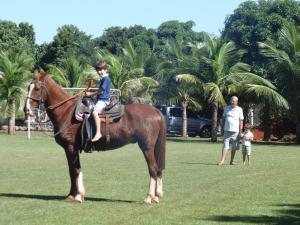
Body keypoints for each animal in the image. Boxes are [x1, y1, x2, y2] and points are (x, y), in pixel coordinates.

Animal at [25, 71, 166, 204]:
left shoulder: (70, 148)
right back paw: (156, 196)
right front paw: (73, 195)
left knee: (153, 169)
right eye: (28, 87)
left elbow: (74, 170)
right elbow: (74, 170)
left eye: (37, 88)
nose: (26, 110)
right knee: (158, 169)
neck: (66, 112)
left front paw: (77, 196)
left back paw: (149, 197)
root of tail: (156, 111)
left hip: (147, 148)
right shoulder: (73, 149)